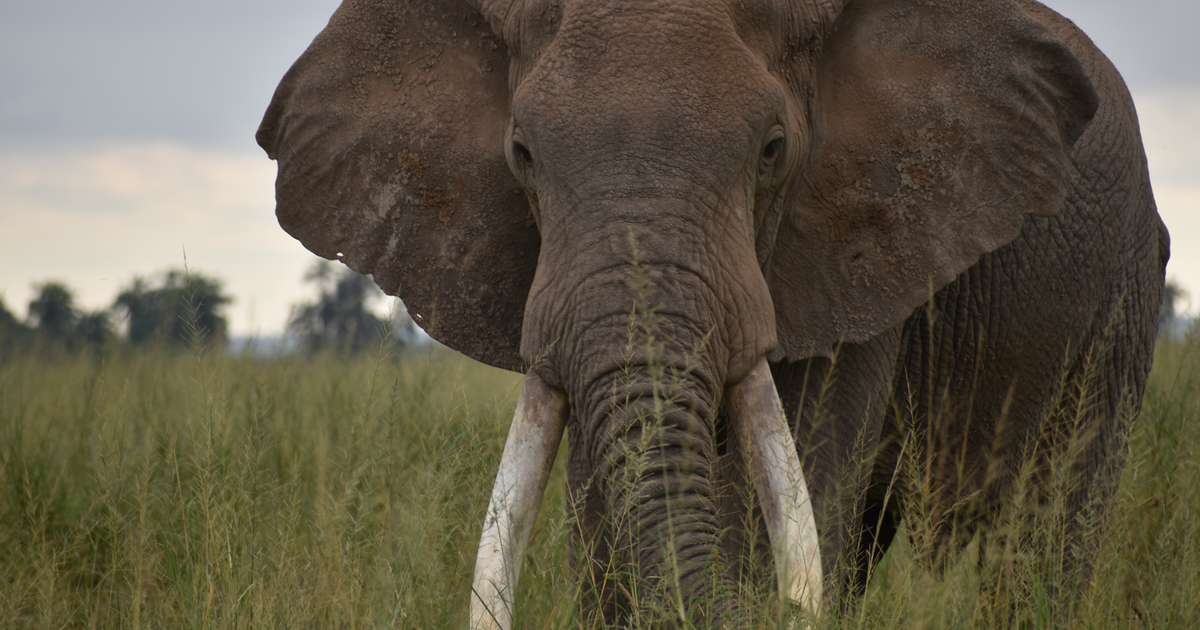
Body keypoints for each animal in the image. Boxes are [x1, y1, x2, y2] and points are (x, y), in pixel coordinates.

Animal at [258, 0, 1166, 619]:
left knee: (1039, 538)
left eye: (773, 151)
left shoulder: (861, 249)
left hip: (1121, 293)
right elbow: (604, 523)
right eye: (521, 153)